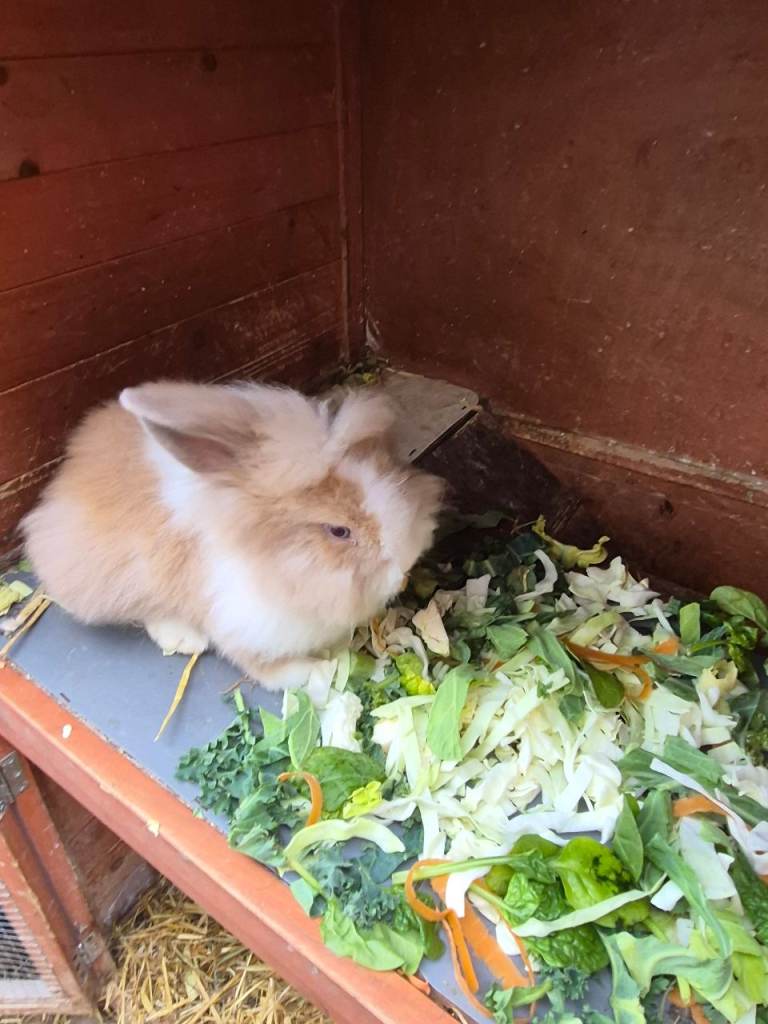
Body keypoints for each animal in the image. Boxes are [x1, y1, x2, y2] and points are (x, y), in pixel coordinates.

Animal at [22, 380, 444, 690]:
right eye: (339, 531)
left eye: (394, 473)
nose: (406, 563)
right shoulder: (242, 624)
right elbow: (266, 668)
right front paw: (317, 673)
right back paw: (184, 638)